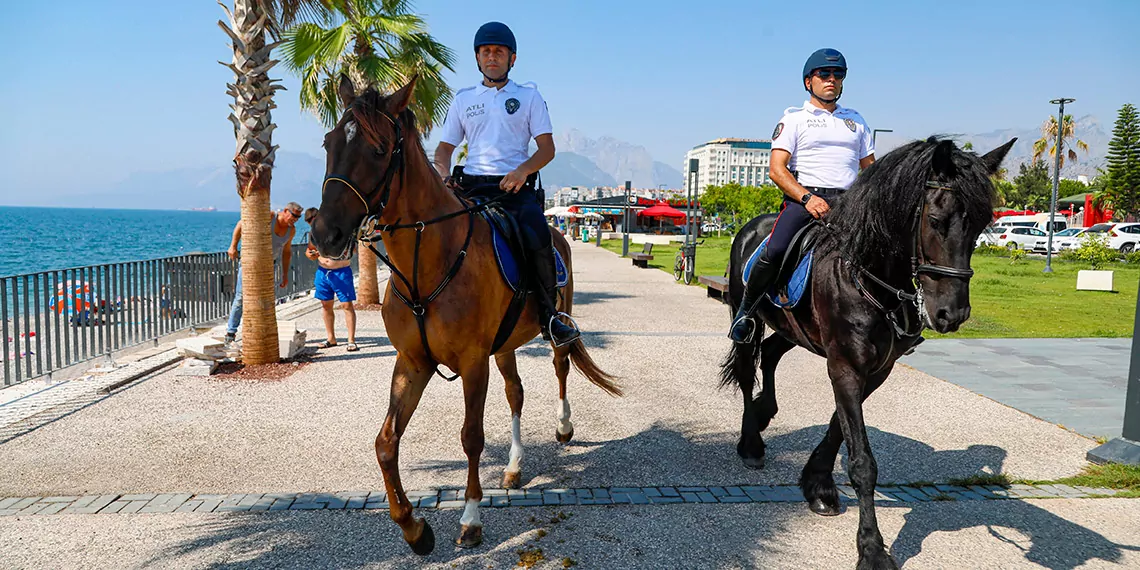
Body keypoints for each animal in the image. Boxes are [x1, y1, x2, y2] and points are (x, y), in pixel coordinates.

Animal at [307, 75, 620, 551]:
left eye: (378, 150)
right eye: (328, 143)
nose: (326, 233)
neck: (427, 262)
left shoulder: (473, 363)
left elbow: (471, 437)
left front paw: (470, 519)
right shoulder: (412, 362)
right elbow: (385, 442)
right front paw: (414, 528)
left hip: (553, 326)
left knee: (562, 365)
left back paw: (564, 426)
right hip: (504, 345)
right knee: (516, 392)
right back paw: (512, 467)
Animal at [720, 135, 1016, 567]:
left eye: (980, 225)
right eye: (936, 220)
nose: (952, 313)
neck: (867, 277)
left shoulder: (875, 369)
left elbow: (838, 429)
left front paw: (819, 485)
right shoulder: (844, 366)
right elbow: (862, 462)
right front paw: (872, 549)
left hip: (792, 329)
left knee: (772, 354)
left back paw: (764, 412)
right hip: (747, 318)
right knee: (746, 369)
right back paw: (751, 442)